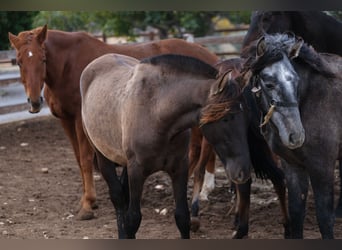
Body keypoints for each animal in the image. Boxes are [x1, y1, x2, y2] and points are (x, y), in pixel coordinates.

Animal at [8, 24, 219, 221]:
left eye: (42, 59)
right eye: (19, 62)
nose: (34, 102)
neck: (68, 65)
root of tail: (209, 55)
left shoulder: (80, 121)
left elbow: (85, 159)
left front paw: (88, 204)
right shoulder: (66, 121)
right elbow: (78, 159)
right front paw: (86, 200)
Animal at [242, 9, 342, 219]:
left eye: (296, 79)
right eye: (268, 83)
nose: (295, 135)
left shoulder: (322, 168)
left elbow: (324, 217)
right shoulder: (292, 167)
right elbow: (296, 212)